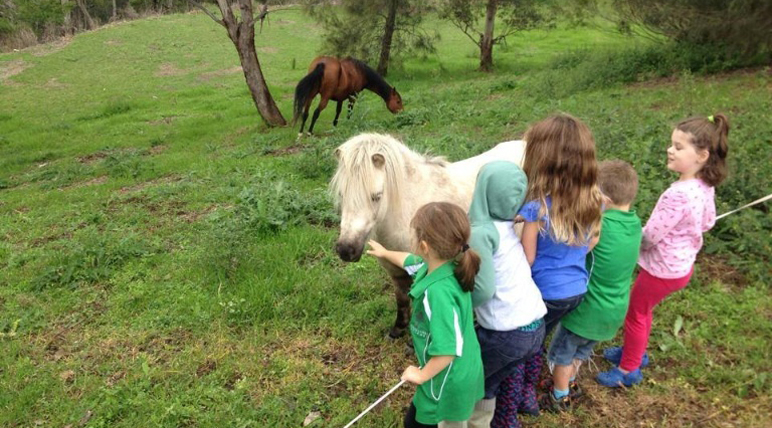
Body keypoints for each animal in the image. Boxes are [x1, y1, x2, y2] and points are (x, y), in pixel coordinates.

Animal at [330, 133, 524, 338]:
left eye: (376, 196)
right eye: (341, 194)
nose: (346, 250)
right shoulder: (394, 270)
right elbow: (401, 298)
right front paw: (398, 329)